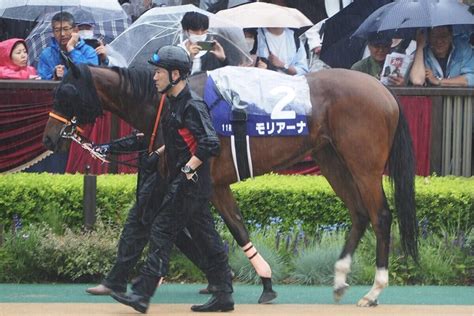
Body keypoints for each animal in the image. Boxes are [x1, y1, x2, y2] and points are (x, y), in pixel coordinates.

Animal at [42, 64, 416, 306]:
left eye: (66, 93)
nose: (48, 138)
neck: (170, 103)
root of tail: (385, 91)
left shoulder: (203, 181)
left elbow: (224, 230)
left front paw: (255, 282)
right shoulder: (197, 183)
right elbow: (215, 228)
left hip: (363, 165)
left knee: (381, 216)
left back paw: (374, 291)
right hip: (331, 161)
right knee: (359, 214)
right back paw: (339, 281)